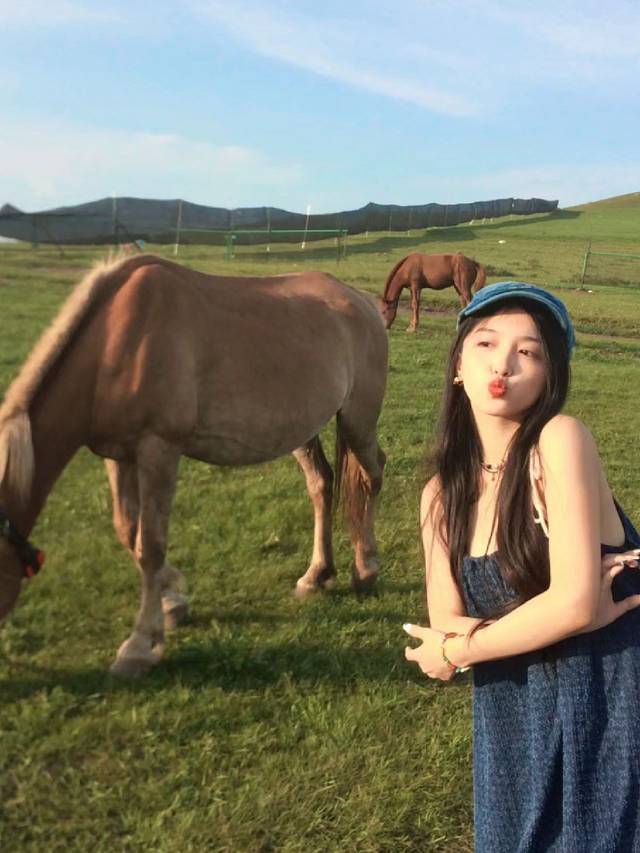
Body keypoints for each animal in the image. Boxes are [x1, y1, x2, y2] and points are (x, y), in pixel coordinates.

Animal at [0, 254, 387, 678]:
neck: (114, 346)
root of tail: (362, 301)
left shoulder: (159, 450)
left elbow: (150, 545)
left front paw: (139, 646)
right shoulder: (117, 456)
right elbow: (129, 532)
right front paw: (172, 602)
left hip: (357, 420)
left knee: (372, 476)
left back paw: (366, 569)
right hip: (303, 430)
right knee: (322, 484)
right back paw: (316, 575)